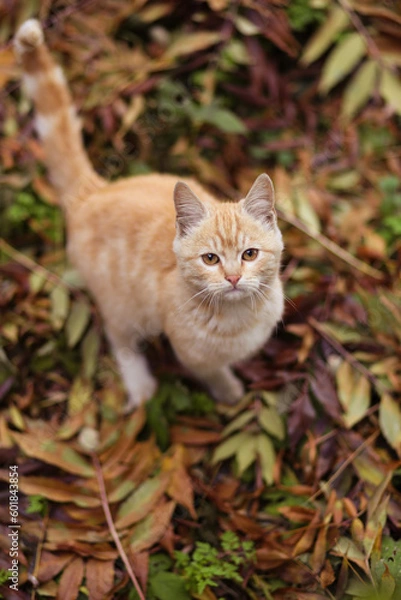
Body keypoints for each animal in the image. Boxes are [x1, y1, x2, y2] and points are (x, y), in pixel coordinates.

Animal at [14, 18, 282, 412]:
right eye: (210, 259)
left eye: (250, 254)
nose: (233, 278)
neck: (240, 316)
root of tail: (93, 191)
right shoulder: (191, 354)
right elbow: (212, 372)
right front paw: (230, 393)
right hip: (121, 305)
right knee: (118, 336)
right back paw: (140, 385)